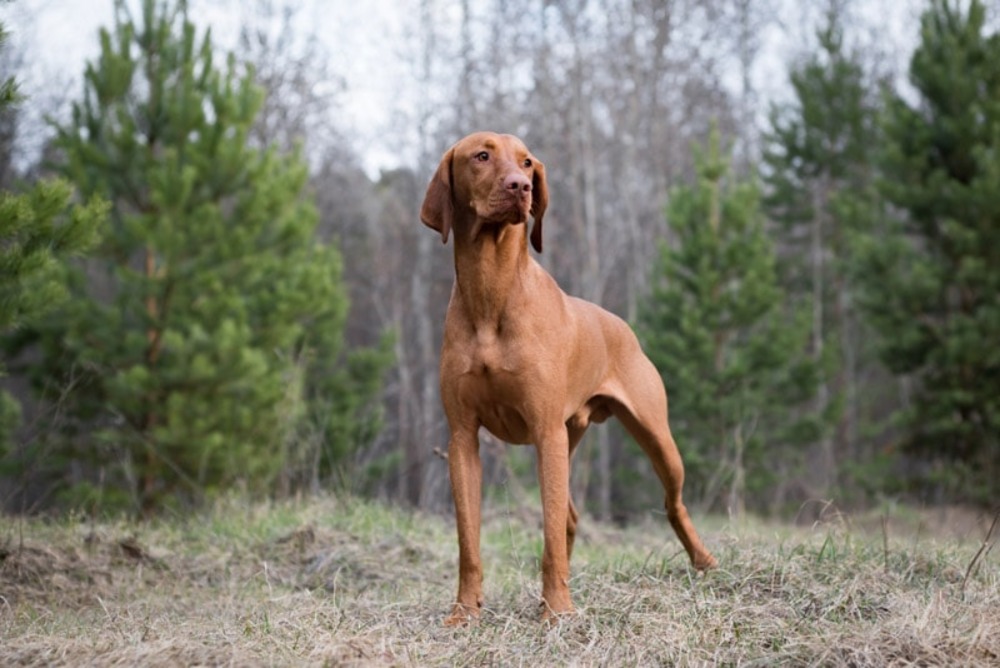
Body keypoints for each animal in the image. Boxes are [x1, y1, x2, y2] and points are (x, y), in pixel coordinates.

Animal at [422, 132, 720, 628]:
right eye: (481, 156)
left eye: (527, 162)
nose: (520, 186)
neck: (491, 291)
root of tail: (620, 324)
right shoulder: (463, 437)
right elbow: (469, 541)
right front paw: (464, 612)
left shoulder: (545, 431)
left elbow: (548, 538)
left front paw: (558, 610)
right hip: (570, 437)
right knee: (572, 516)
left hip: (652, 436)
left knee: (670, 502)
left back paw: (704, 561)